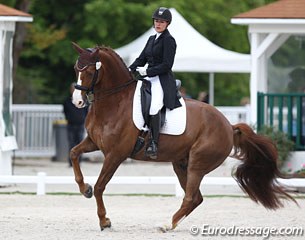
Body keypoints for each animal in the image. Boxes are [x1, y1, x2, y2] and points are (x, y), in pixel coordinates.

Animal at [70, 42, 294, 231]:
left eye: (89, 71)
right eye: (75, 69)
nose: (77, 102)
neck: (114, 102)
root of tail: (229, 126)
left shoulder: (116, 154)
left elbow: (100, 186)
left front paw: (104, 221)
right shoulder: (94, 143)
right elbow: (73, 154)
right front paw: (84, 188)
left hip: (197, 163)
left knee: (191, 197)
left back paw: (166, 225)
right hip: (180, 163)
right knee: (196, 198)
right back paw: (171, 223)